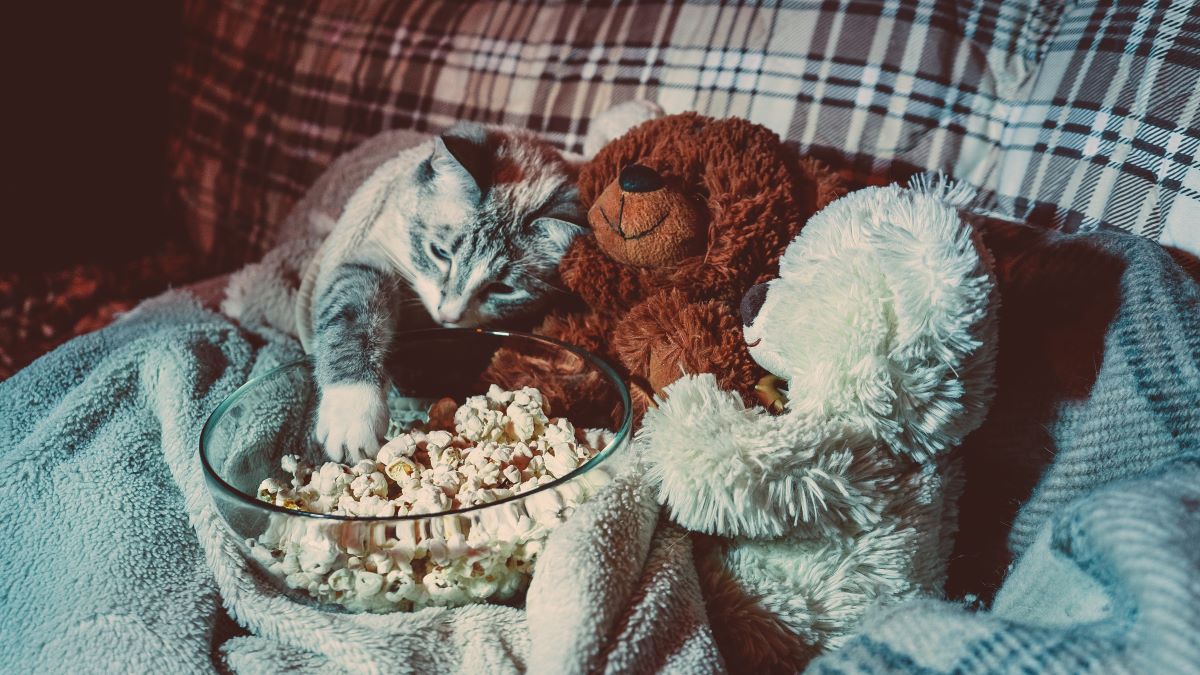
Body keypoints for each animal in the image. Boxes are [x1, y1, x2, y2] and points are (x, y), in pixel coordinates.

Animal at [307, 123, 583, 461]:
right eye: (439, 252)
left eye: (503, 288)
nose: (449, 315)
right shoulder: (374, 256)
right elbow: (350, 314)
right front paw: (352, 416)